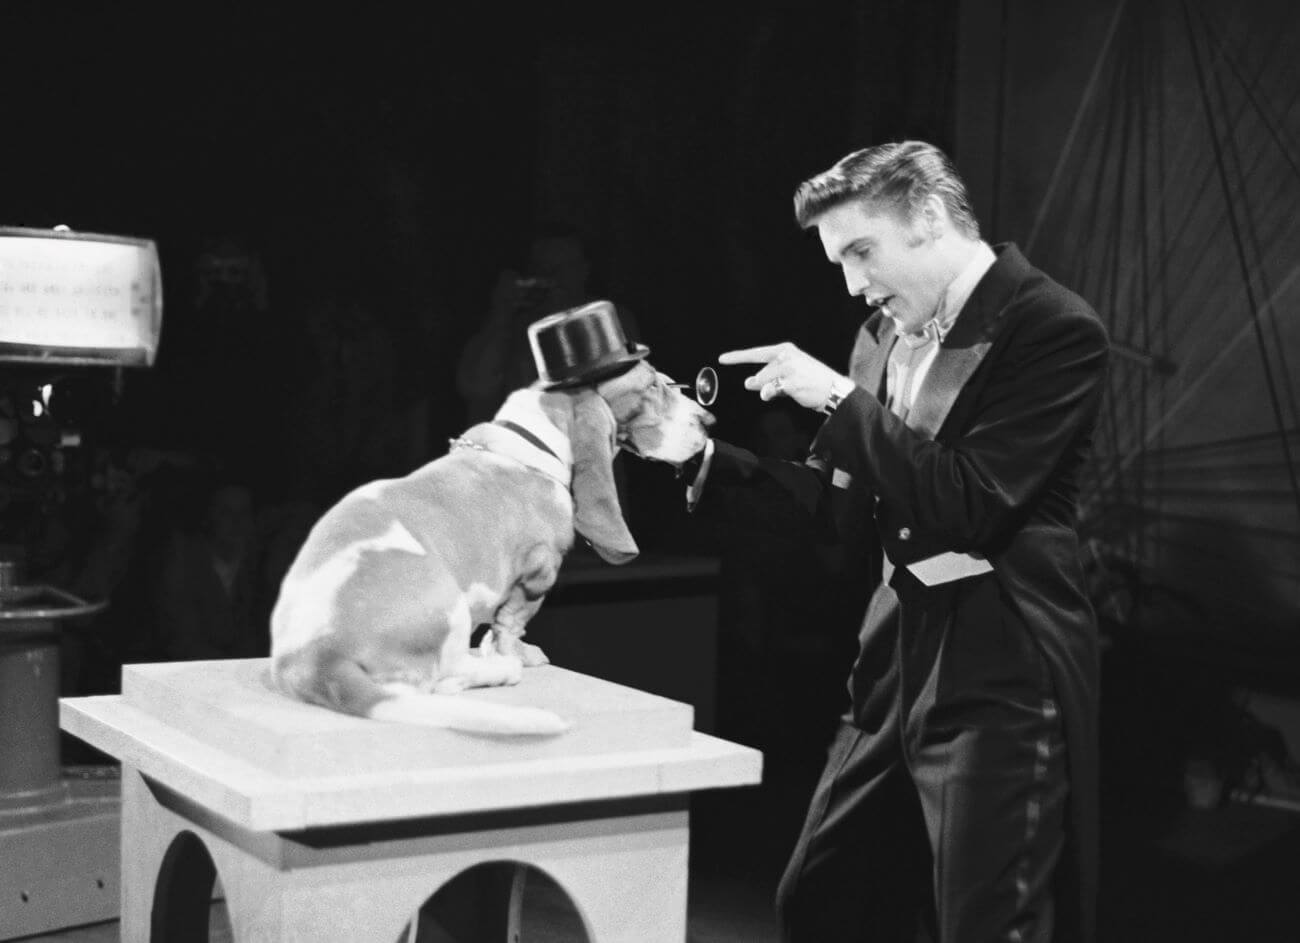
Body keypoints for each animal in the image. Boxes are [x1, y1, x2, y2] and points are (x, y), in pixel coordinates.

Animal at [263, 361, 712, 733]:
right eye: (653, 386)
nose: (709, 419)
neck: (530, 441)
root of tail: (317, 658)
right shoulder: (537, 573)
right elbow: (510, 625)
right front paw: (516, 655)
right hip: (450, 608)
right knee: (442, 681)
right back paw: (498, 669)